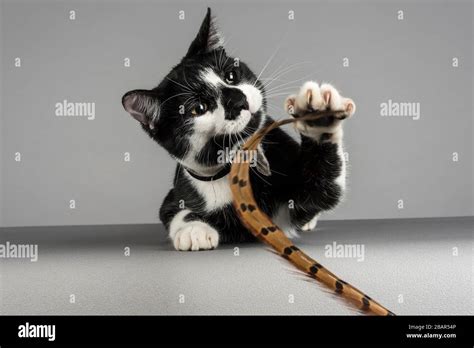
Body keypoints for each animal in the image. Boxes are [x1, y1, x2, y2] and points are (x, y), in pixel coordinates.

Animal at [122, 7, 356, 250]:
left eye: (231, 75)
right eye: (198, 108)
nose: (237, 100)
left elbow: (321, 189)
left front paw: (319, 115)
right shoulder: (176, 192)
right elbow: (176, 211)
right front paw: (193, 229)